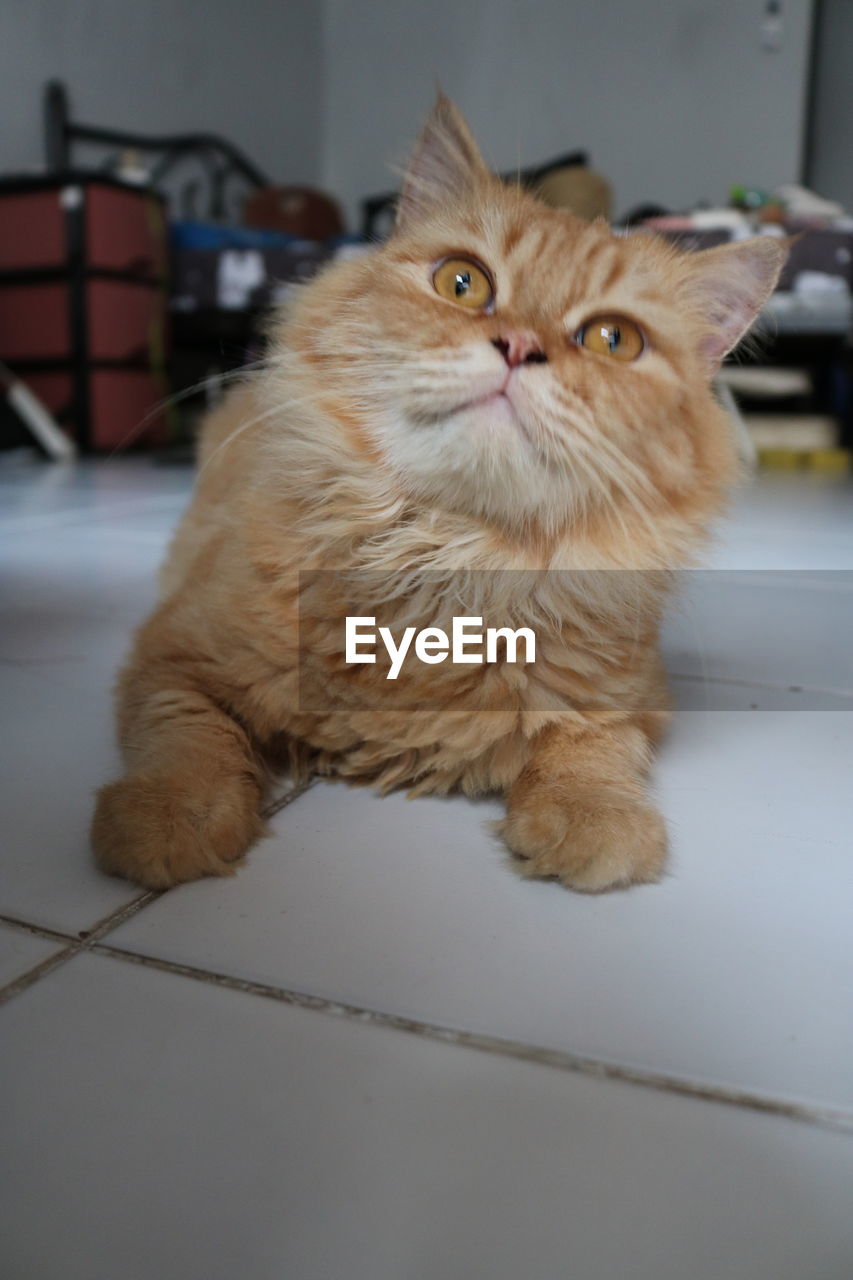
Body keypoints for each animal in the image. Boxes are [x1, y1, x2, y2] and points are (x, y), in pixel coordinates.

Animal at [87, 97, 783, 890]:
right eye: (463, 284)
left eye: (613, 340)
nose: (519, 346)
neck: (448, 549)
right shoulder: (170, 657)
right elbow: (189, 737)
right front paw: (172, 813)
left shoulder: (628, 700)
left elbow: (592, 746)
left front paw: (592, 815)